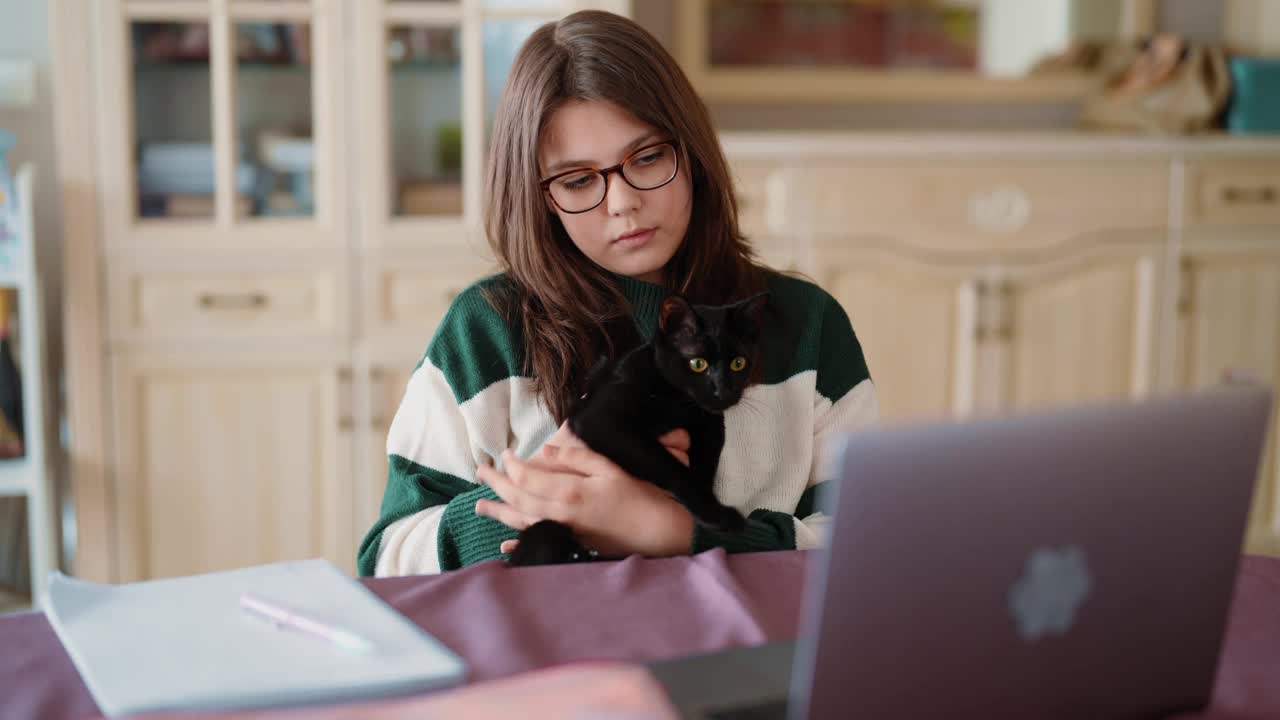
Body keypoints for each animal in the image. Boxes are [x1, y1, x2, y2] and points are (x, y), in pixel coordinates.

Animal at [506, 292, 768, 566]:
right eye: (698, 363)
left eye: (739, 363)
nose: (724, 391)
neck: (680, 402)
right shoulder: (600, 419)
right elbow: (668, 465)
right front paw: (718, 515)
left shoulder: (711, 428)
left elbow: (706, 466)